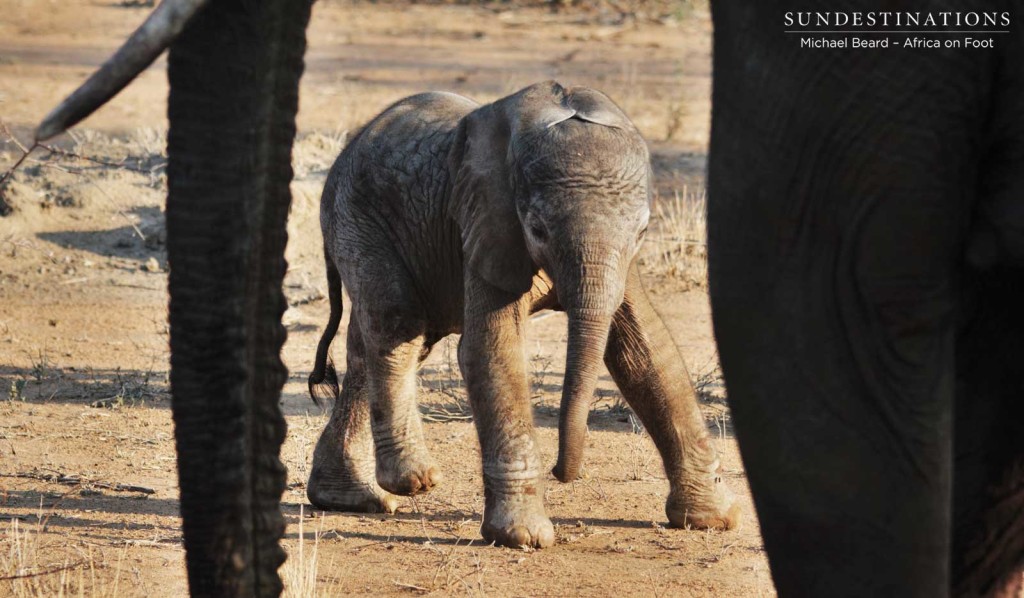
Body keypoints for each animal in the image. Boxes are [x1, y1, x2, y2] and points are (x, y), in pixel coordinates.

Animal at [307, 81, 741, 548]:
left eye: (643, 231)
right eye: (537, 230)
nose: (561, 472)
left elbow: (644, 350)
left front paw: (713, 519)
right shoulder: (487, 221)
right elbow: (492, 349)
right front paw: (523, 537)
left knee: (372, 347)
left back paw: (347, 497)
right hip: (357, 216)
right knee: (397, 324)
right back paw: (413, 481)